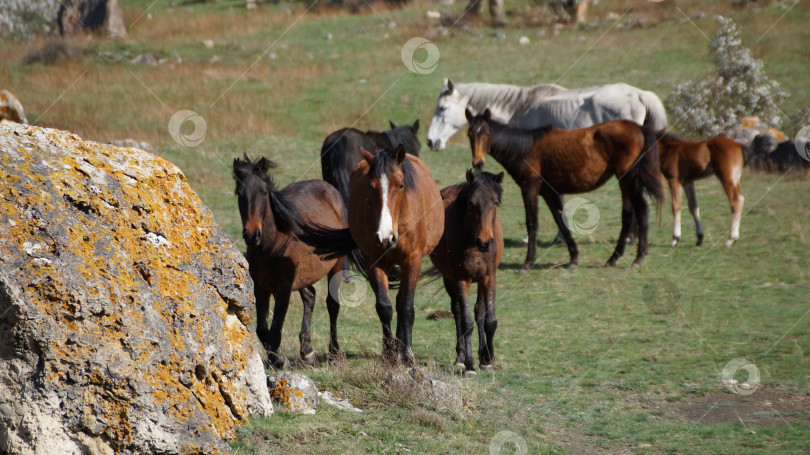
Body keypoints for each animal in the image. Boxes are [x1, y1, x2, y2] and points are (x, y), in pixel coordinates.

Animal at [234, 157, 348, 370]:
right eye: (239, 194)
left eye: (264, 192)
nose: (252, 234)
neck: (272, 246)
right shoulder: (261, 289)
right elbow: (262, 330)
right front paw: (280, 359)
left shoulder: (283, 289)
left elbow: (275, 330)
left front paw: (275, 362)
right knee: (310, 296)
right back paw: (307, 352)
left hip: (337, 264)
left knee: (332, 305)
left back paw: (333, 354)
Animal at [300, 146, 446, 366]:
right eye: (371, 186)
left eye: (400, 185)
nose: (385, 237)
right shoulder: (374, 263)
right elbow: (384, 307)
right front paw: (389, 354)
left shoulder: (413, 262)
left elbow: (406, 307)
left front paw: (407, 355)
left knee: (402, 302)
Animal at [426, 169, 502, 376]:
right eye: (471, 203)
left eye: (495, 202)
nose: (485, 242)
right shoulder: (461, 279)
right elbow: (466, 322)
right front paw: (469, 365)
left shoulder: (489, 277)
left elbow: (489, 320)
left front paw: (487, 359)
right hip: (449, 279)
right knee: (458, 312)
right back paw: (460, 358)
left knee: (479, 312)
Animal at [468, 108, 664, 270]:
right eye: (470, 134)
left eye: (487, 133)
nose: (478, 163)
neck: (524, 148)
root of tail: (639, 128)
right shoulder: (549, 192)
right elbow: (561, 220)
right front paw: (573, 258)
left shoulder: (529, 188)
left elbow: (532, 222)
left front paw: (528, 262)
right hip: (624, 181)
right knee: (628, 214)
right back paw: (613, 259)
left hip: (629, 179)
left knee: (641, 210)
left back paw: (638, 258)